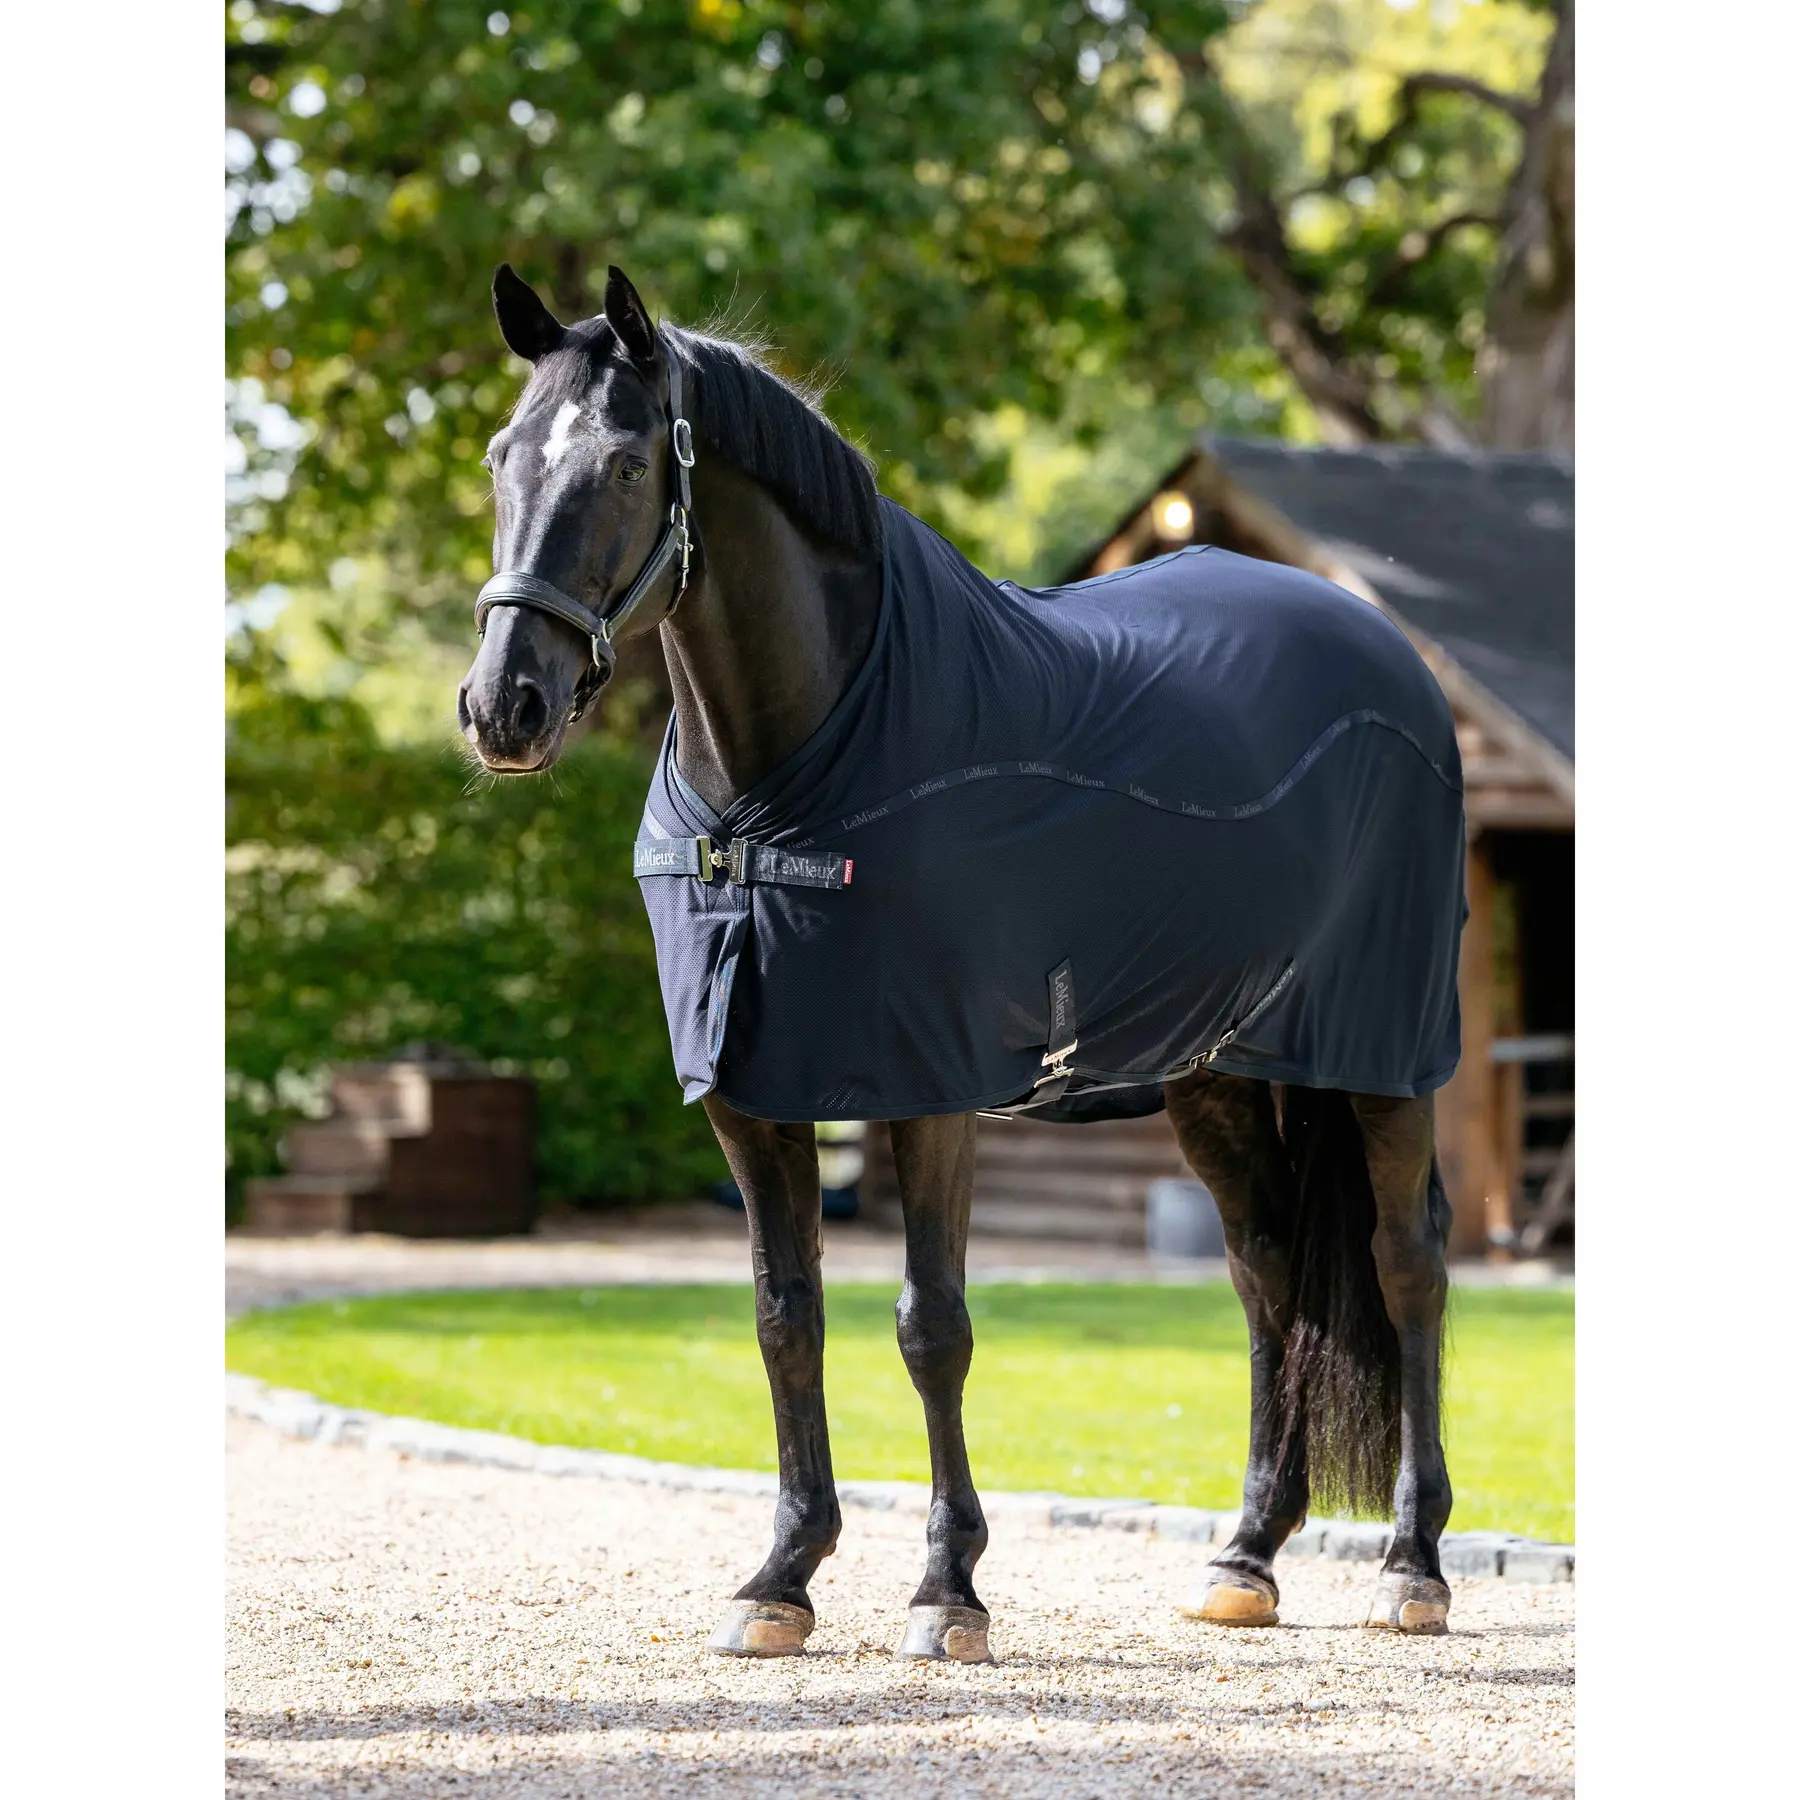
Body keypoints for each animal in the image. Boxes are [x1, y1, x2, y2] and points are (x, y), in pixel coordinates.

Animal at [458, 263, 1461, 1661]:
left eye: (619, 464)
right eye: (503, 458)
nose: (505, 707)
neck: (790, 778)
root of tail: (1392, 663)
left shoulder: (928, 1084)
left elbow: (932, 1328)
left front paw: (948, 1591)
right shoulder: (750, 1097)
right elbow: (785, 1321)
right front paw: (781, 1576)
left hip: (1382, 1061)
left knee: (1407, 1268)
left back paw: (1414, 1566)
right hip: (1220, 1074)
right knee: (1268, 1279)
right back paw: (1245, 1559)